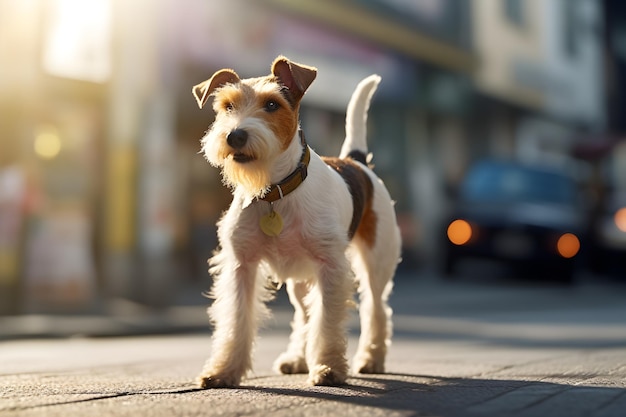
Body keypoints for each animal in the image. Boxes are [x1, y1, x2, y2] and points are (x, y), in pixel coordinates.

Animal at [190, 55, 402, 386]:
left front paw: (328, 367)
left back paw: (371, 358)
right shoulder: (241, 265)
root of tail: (355, 161)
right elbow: (237, 320)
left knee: (376, 308)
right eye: (227, 106)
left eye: (272, 104)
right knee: (304, 315)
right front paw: (223, 370)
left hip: (375, 263)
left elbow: (326, 321)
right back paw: (297, 359)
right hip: (300, 280)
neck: (275, 191)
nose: (235, 135)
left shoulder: (331, 267)